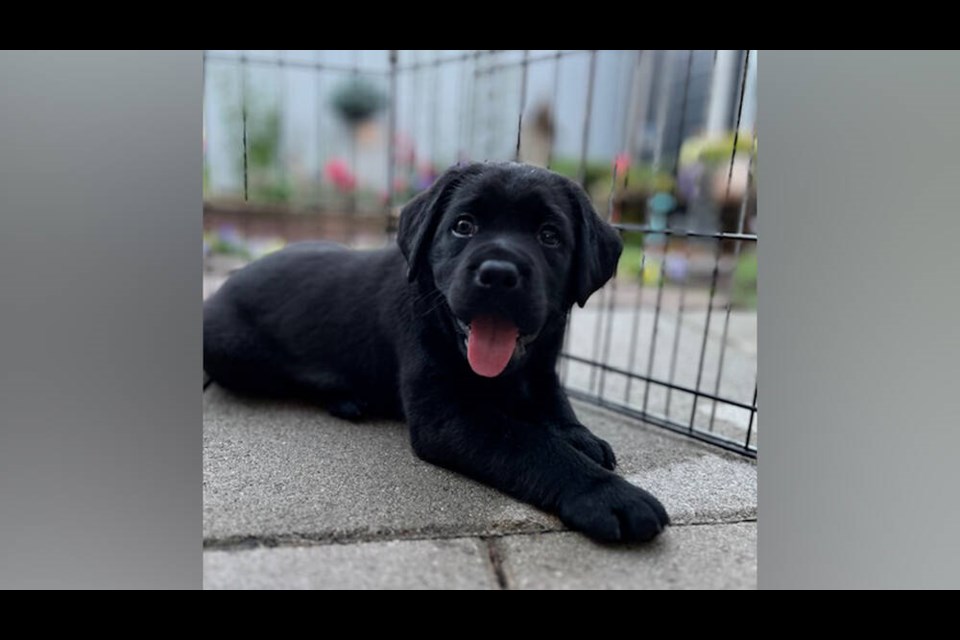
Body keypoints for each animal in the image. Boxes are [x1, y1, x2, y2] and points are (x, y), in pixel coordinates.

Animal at [204, 160, 668, 540]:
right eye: (464, 226)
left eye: (549, 236)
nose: (498, 274)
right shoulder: (447, 416)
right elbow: (530, 443)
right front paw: (608, 495)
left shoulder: (541, 370)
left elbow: (555, 404)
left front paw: (579, 436)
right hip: (237, 353)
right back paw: (348, 398)